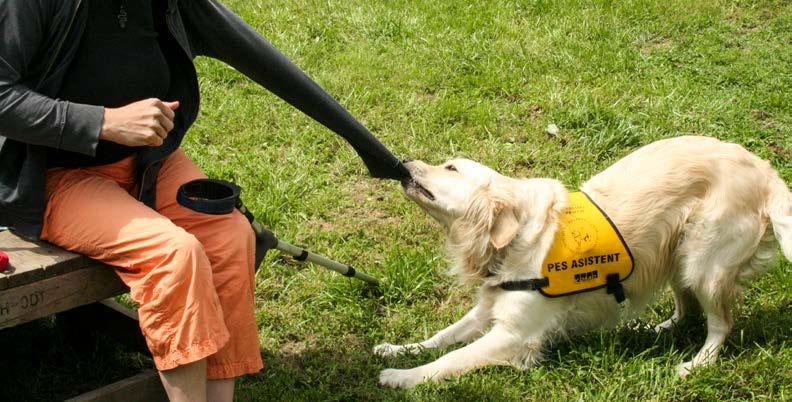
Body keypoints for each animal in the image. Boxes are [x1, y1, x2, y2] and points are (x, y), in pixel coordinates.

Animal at [372, 137, 792, 388]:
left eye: (451, 168)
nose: (404, 161)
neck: (519, 237)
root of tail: (767, 173)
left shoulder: (515, 335)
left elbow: (450, 358)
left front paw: (402, 377)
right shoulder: (488, 308)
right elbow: (442, 337)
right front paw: (398, 349)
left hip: (704, 261)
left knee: (721, 323)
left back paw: (697, 364)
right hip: (678, 251)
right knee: (685, 308)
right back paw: (654, 329)